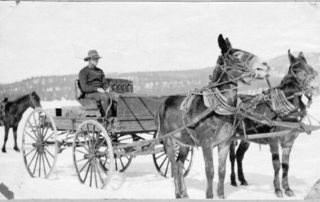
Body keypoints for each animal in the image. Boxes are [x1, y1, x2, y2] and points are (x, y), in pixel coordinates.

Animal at [156, 34, 268, 199]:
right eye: (236, 55)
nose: (264, 66)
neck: (216, 108)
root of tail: (164, 101)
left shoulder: (225, 143)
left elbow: (221, 171)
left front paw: (221, 195)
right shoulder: (206, 143)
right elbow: (210, 171)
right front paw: (209, 195)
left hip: (184, 143)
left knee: (180, 163)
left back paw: (184, 193)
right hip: (169, 140)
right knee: (173, 165)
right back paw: (177, 193)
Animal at [230, 50, 318, 197]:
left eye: (308, 67)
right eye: (295, 68)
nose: (310, 84)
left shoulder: (288, 142)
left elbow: (286, 166)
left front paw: (287, 189)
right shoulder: (274, 141)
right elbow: (276, 165)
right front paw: (277, 189)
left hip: (246, 138)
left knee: (239, 155)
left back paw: (242, 179)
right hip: (231, 137)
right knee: (231, 156)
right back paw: (232, 181)